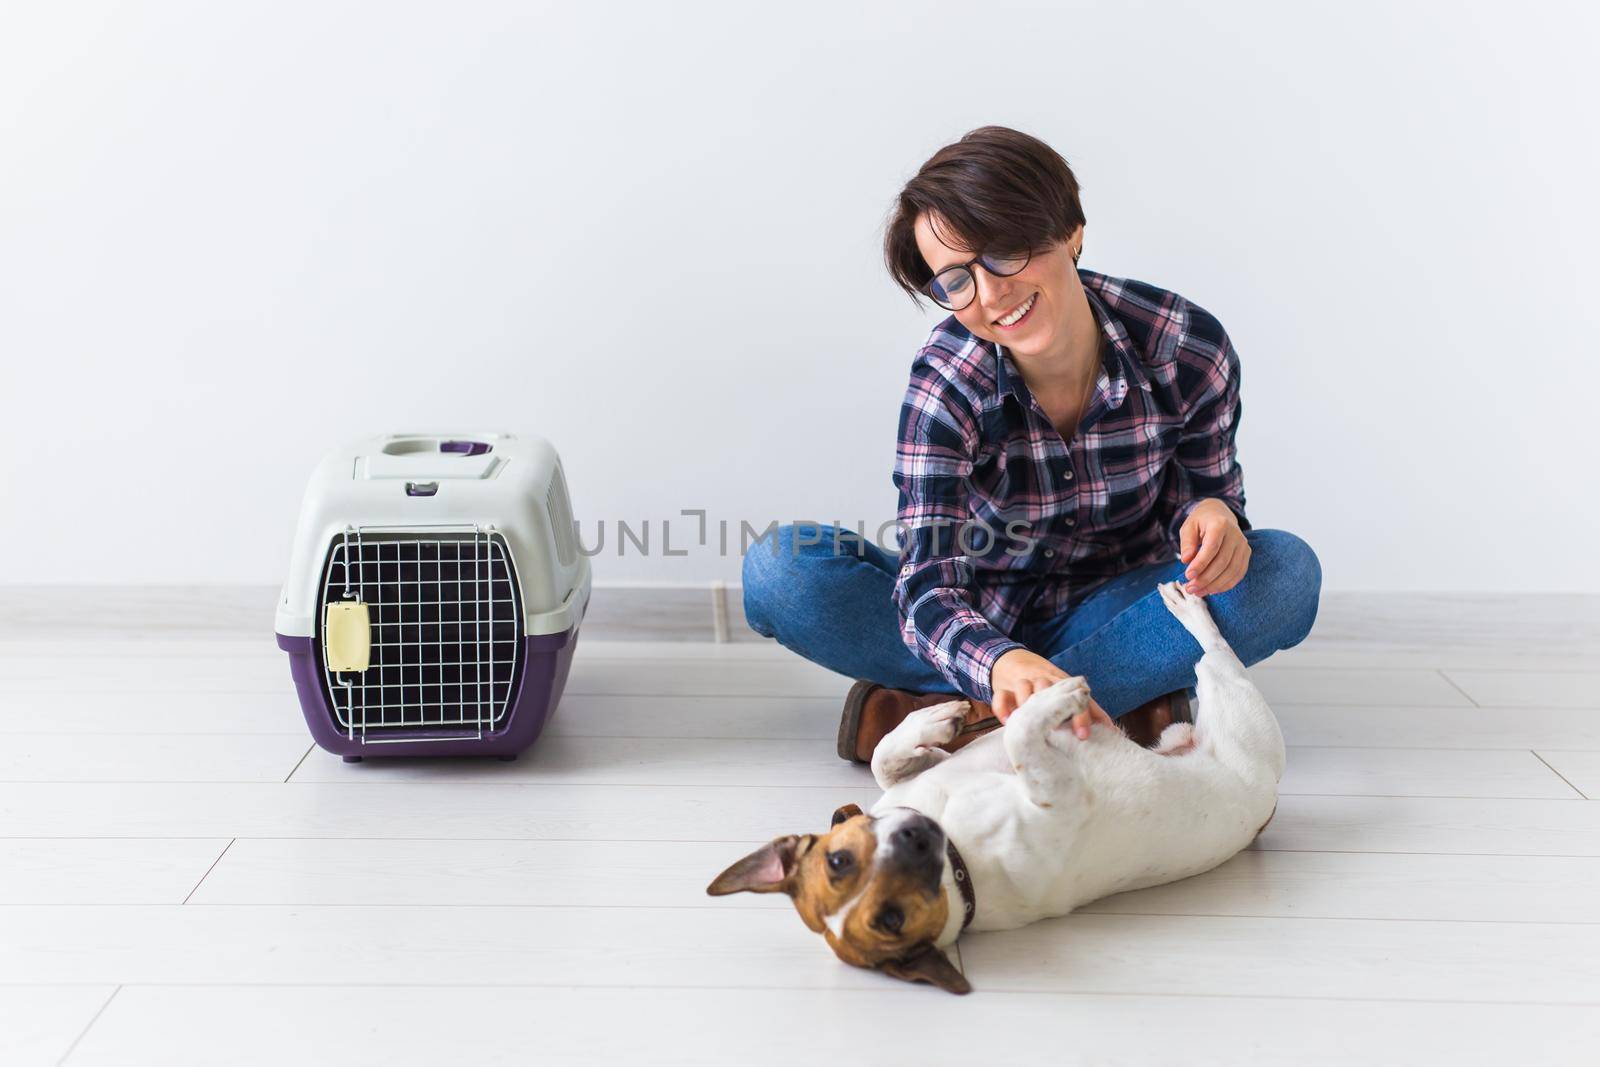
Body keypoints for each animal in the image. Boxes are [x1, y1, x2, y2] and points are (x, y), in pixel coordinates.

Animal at [707, 585, 1280, 991]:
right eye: (890, 919)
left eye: (839, 858)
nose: (915, 835)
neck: (957, 842)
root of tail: (1265, 810)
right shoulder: (1058, 797)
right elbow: (1023, 737)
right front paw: (1052, 697)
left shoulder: (929, 771)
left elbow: (886, 759)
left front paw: (934, 719)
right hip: (1236, 706)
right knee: (1215, 651)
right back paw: (1189, 607)